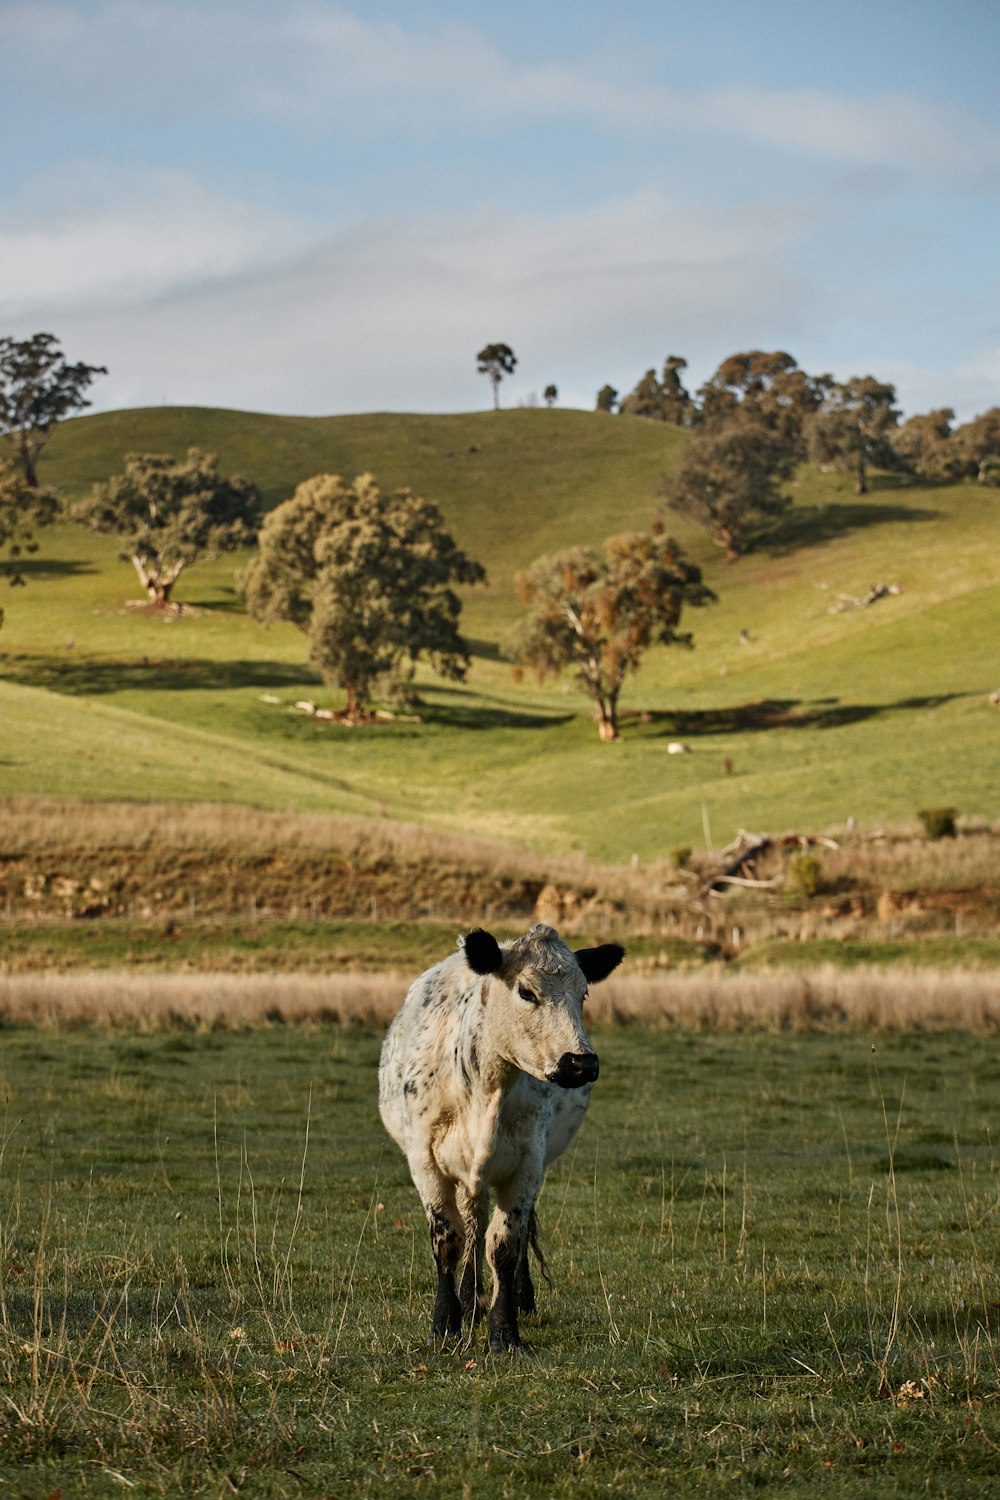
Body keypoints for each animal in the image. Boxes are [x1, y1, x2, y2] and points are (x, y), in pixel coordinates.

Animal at [377, 918, 620, 1356]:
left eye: (584, 993)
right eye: (526, 992)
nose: (580, 1063)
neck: (485, 1087)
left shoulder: (527, 1165)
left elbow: (505, 1244)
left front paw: (505, 1332)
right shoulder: (425, 1163)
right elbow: (448, 1240)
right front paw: (446, 1324)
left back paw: (514, 1299)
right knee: (471, 1227)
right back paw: (469, 1301)